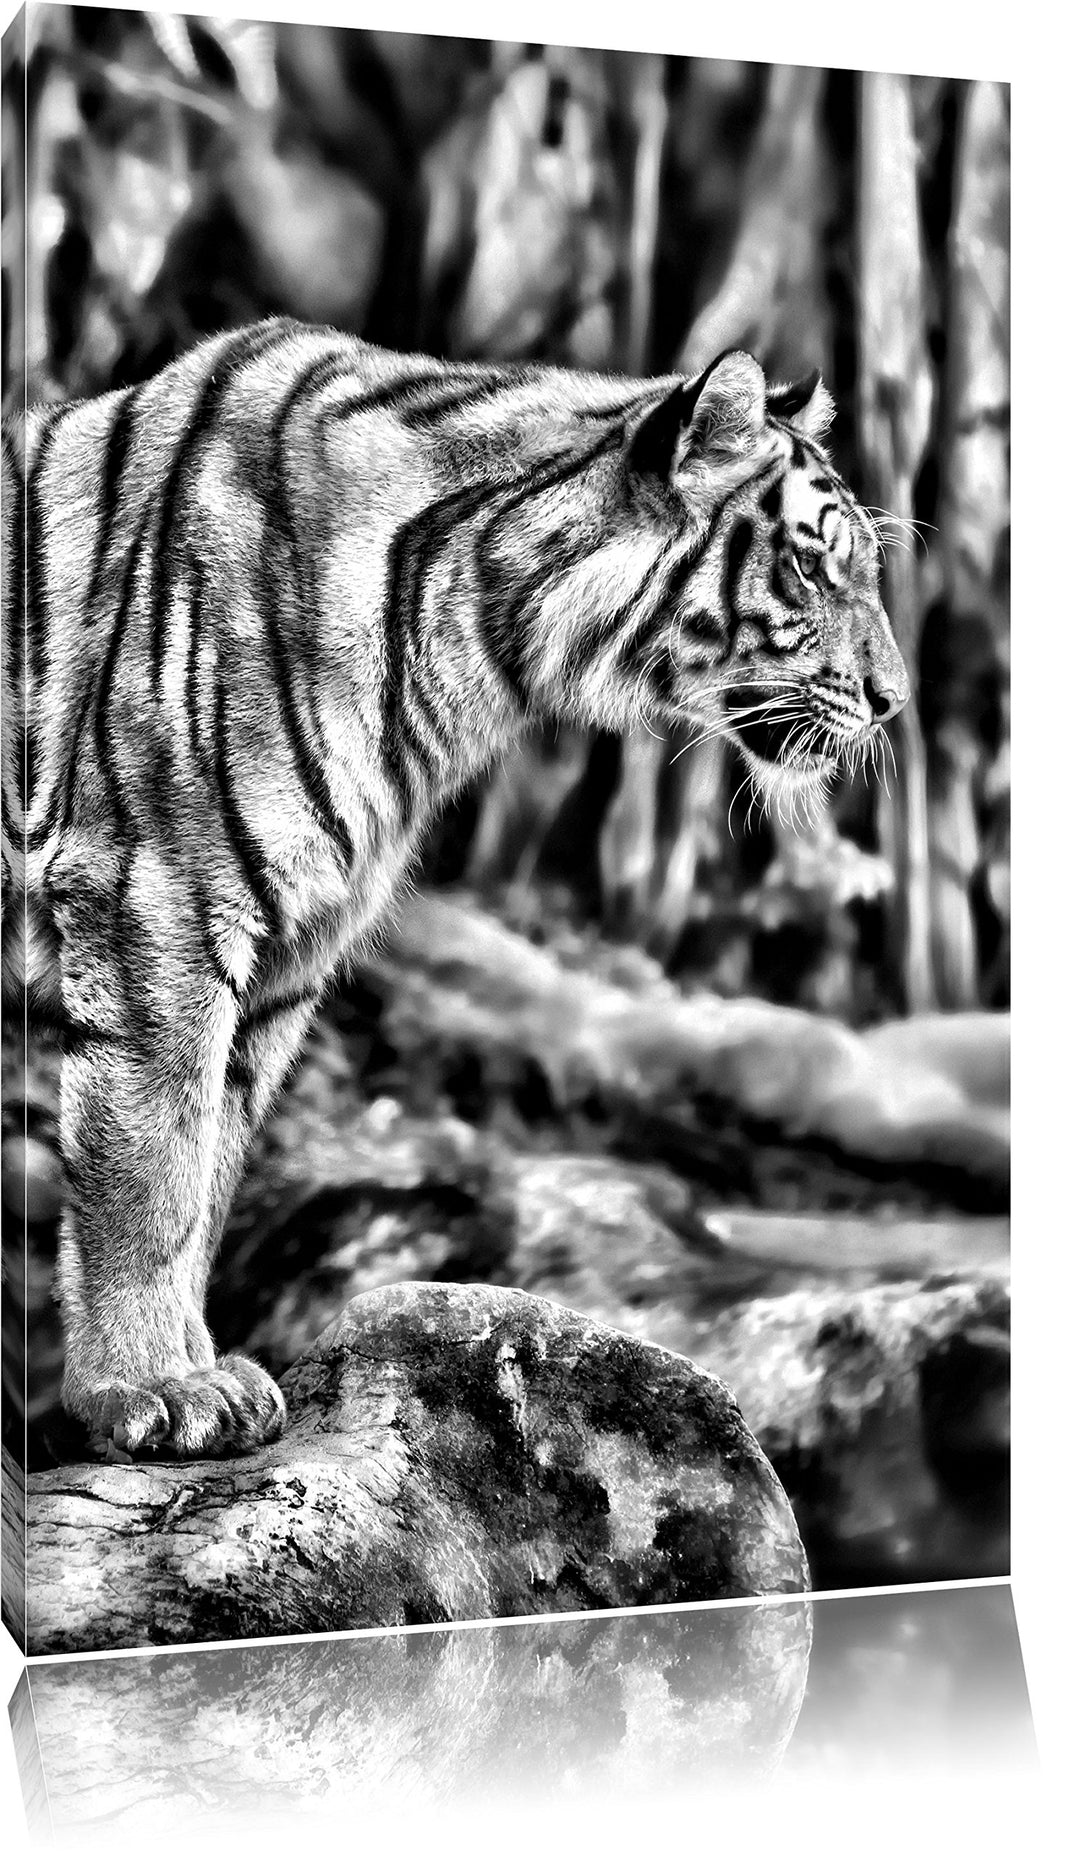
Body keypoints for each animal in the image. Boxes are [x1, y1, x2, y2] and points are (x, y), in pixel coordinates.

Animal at [1, 318, 909, 1462]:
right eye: (810, 564)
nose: (895, 700)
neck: (477, 645)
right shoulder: (154, 898)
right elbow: (151, 1166)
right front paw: (153, 1389)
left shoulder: (289, 951)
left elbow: (212, 1167)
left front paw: (206, 1369)